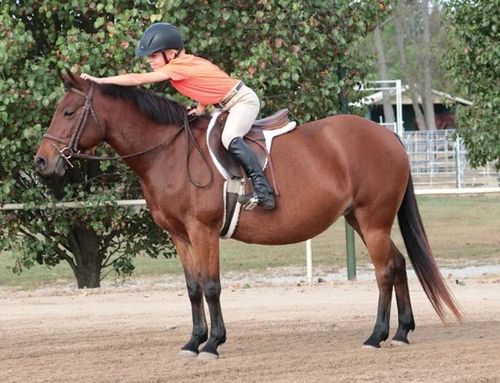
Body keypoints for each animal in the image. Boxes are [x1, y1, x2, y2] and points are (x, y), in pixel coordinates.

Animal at [35, 71, 462, 360]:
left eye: (68, 112)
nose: (42, 161)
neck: (167, 152)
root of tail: (389, 136)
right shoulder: (180, 236)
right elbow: (192, 288)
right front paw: (193, 341)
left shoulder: (202, 230)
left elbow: (211, 286)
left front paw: (212, 343)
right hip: (361, 219)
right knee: (398, 262)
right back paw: (401, 332)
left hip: (372, 220)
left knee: (385, 270)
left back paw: (376, 335)